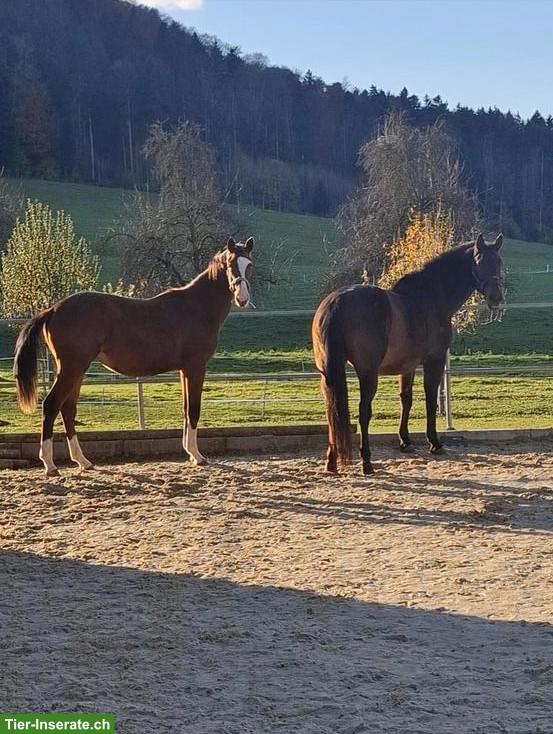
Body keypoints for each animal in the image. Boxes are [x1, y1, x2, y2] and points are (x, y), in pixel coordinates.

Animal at [13, 236, 254, 476]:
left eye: (249, 265)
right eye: (230, 263)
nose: (242, 298)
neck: (196, 307)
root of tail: (54, 309)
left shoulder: (184, 370)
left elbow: (186, 408)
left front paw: (190, 453)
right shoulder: (196, 367)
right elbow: (194, 409)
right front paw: (198, 456)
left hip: (77, 370)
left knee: (68, 409)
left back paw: (83, 461)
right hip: (71, 369)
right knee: (51, 405)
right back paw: (50, 465)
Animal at [312, 233, 504, 475]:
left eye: (499, 262)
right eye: (480, 261)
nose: (496, 298)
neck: (430, 298)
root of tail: (337, 301)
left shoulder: (407, 366)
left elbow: (406, 399)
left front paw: (405, 442)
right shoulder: (434, 362)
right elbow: (430, 399)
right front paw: (435, 443)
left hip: (326, 373)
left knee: (331, 411)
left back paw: (332, 461)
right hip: (367, 373)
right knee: (364, 412)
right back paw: (367, 462)